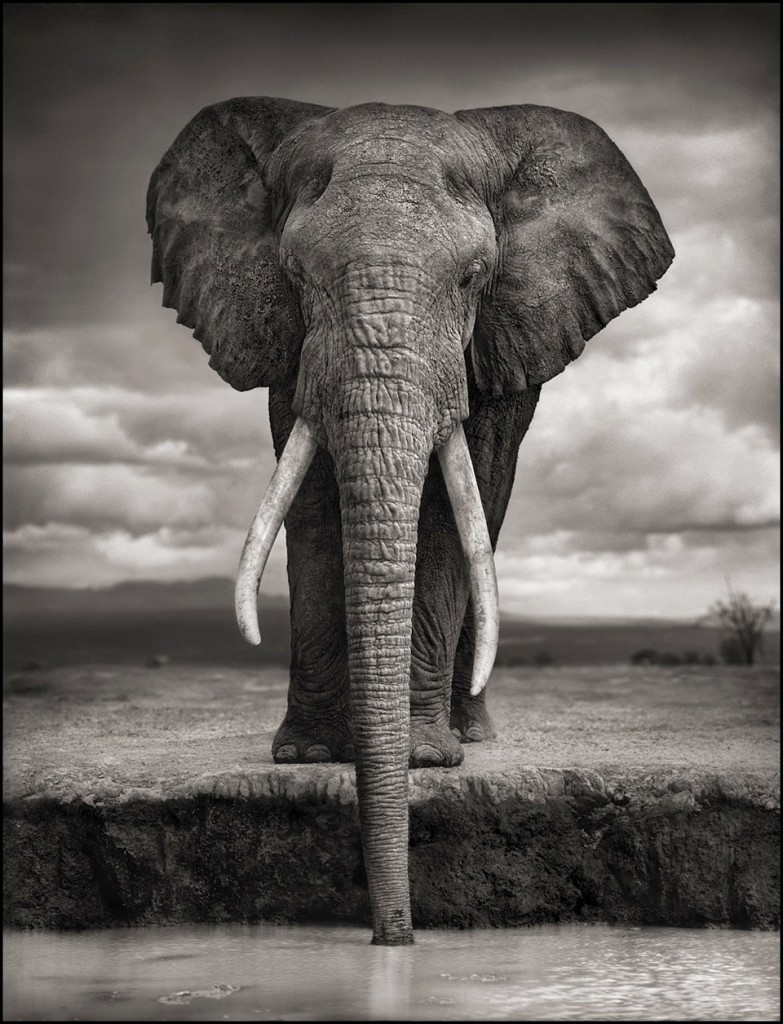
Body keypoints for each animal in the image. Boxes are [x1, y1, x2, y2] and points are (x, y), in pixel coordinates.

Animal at [147, 97, 673, 945]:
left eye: (472, 277)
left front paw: (424, 760)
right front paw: (310, 755)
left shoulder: (494, 336)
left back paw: (470, 735)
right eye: (295, 275)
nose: (394, 935)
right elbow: (313, 501)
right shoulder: (288, 345)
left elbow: (453, 510)